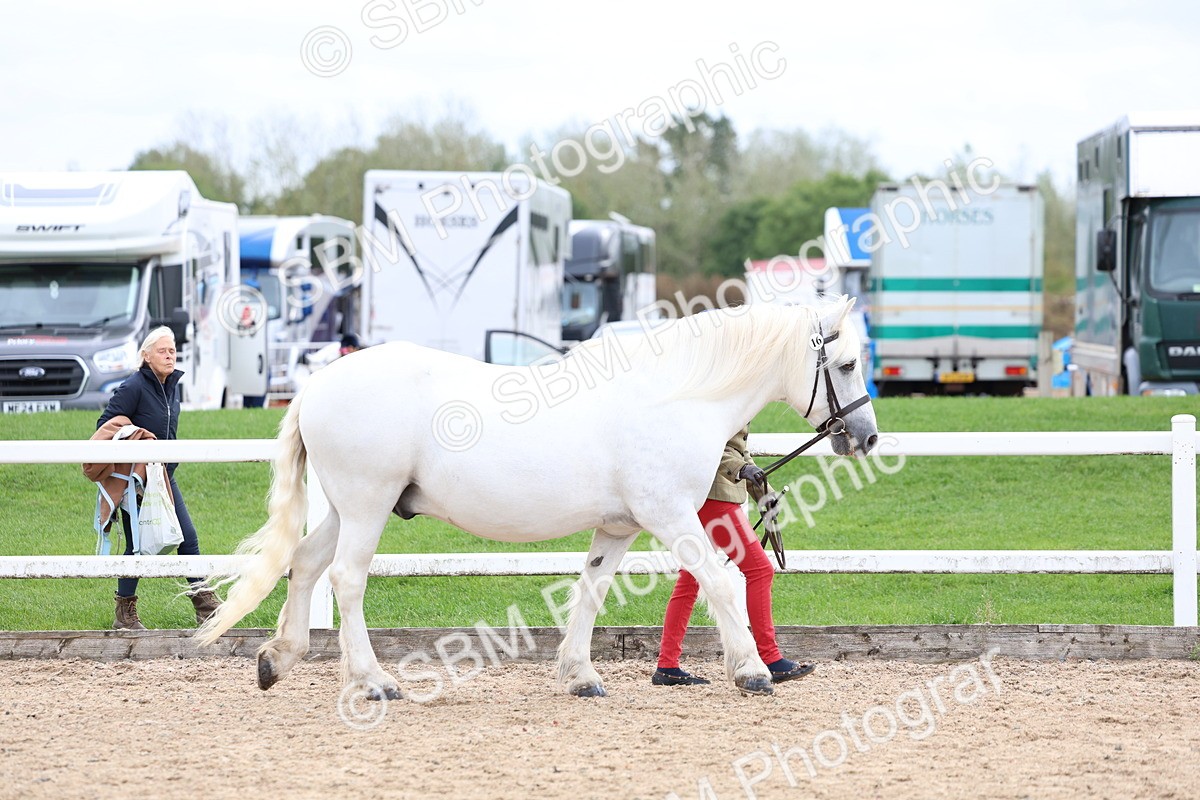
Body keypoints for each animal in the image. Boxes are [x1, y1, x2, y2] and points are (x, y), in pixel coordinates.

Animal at [196, 295, 879, 699]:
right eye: (846, 363)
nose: (867, 437)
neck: (675, 394)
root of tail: (316, 384)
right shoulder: (670, 515)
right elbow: (721, 582)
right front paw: (752, 671)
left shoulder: (621, 526)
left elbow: (592, 589)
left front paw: (579, 675)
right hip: (366, 506)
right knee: (347, 579)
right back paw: (373, 681)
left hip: (346, 507)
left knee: (306, 563)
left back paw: (278, 659)